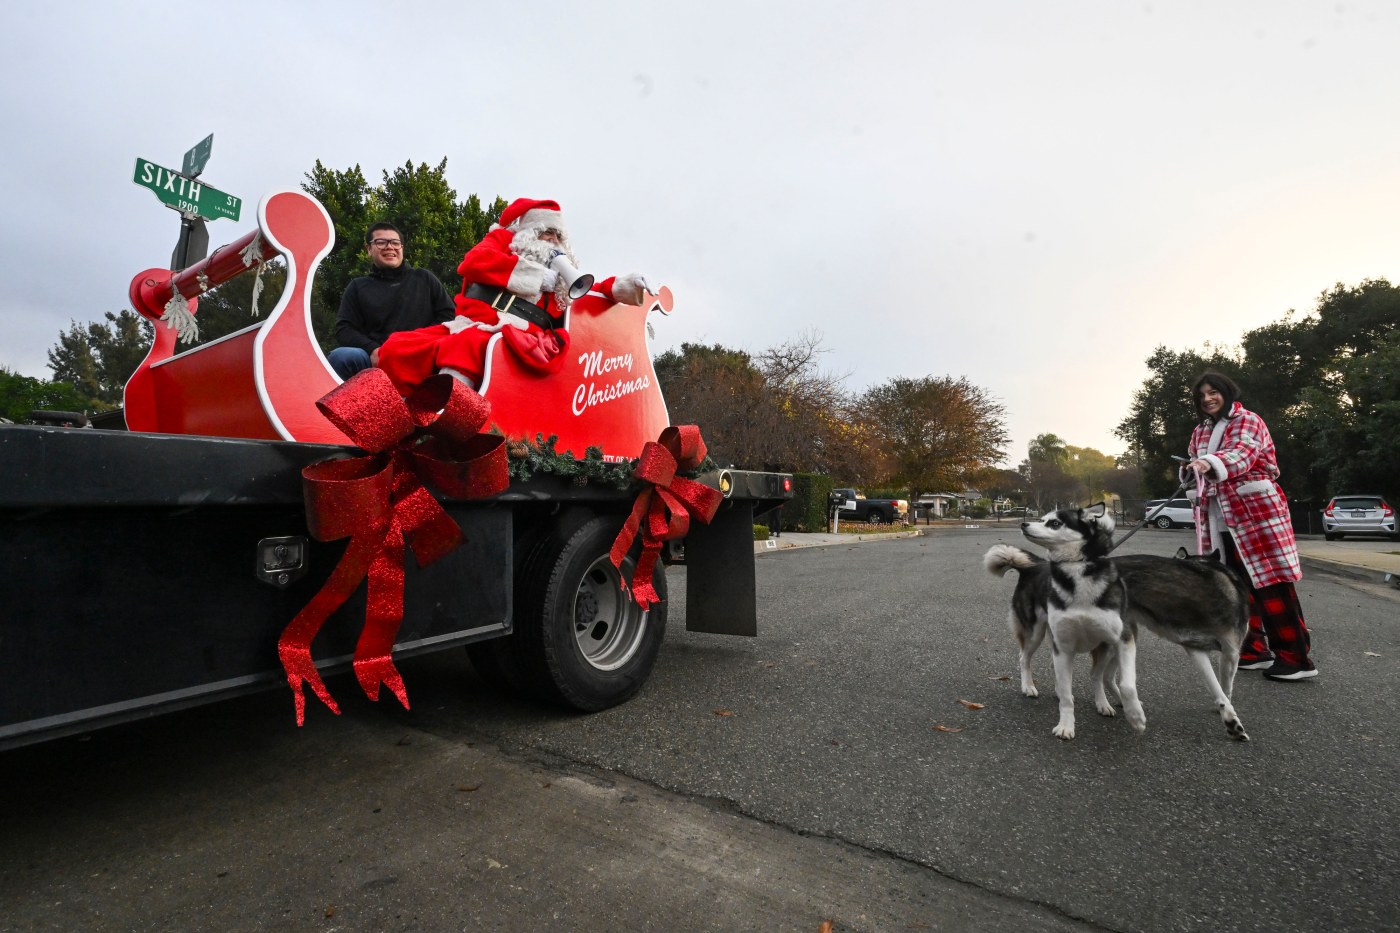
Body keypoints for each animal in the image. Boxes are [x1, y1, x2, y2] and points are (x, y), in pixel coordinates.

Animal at [991, 504, 1254, 739]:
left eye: (1054, 523)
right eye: (1043, 519)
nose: (1024, 524)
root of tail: (1035, 565)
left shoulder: (1211, 650)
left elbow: (1220, 688)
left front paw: (1227, 714)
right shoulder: (1220, 652)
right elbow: (1224, 687)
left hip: (1118, 639)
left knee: (1104, 676)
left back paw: (1115, 702)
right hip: (1035, 632)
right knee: (1025, 658)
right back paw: (1029, 686)